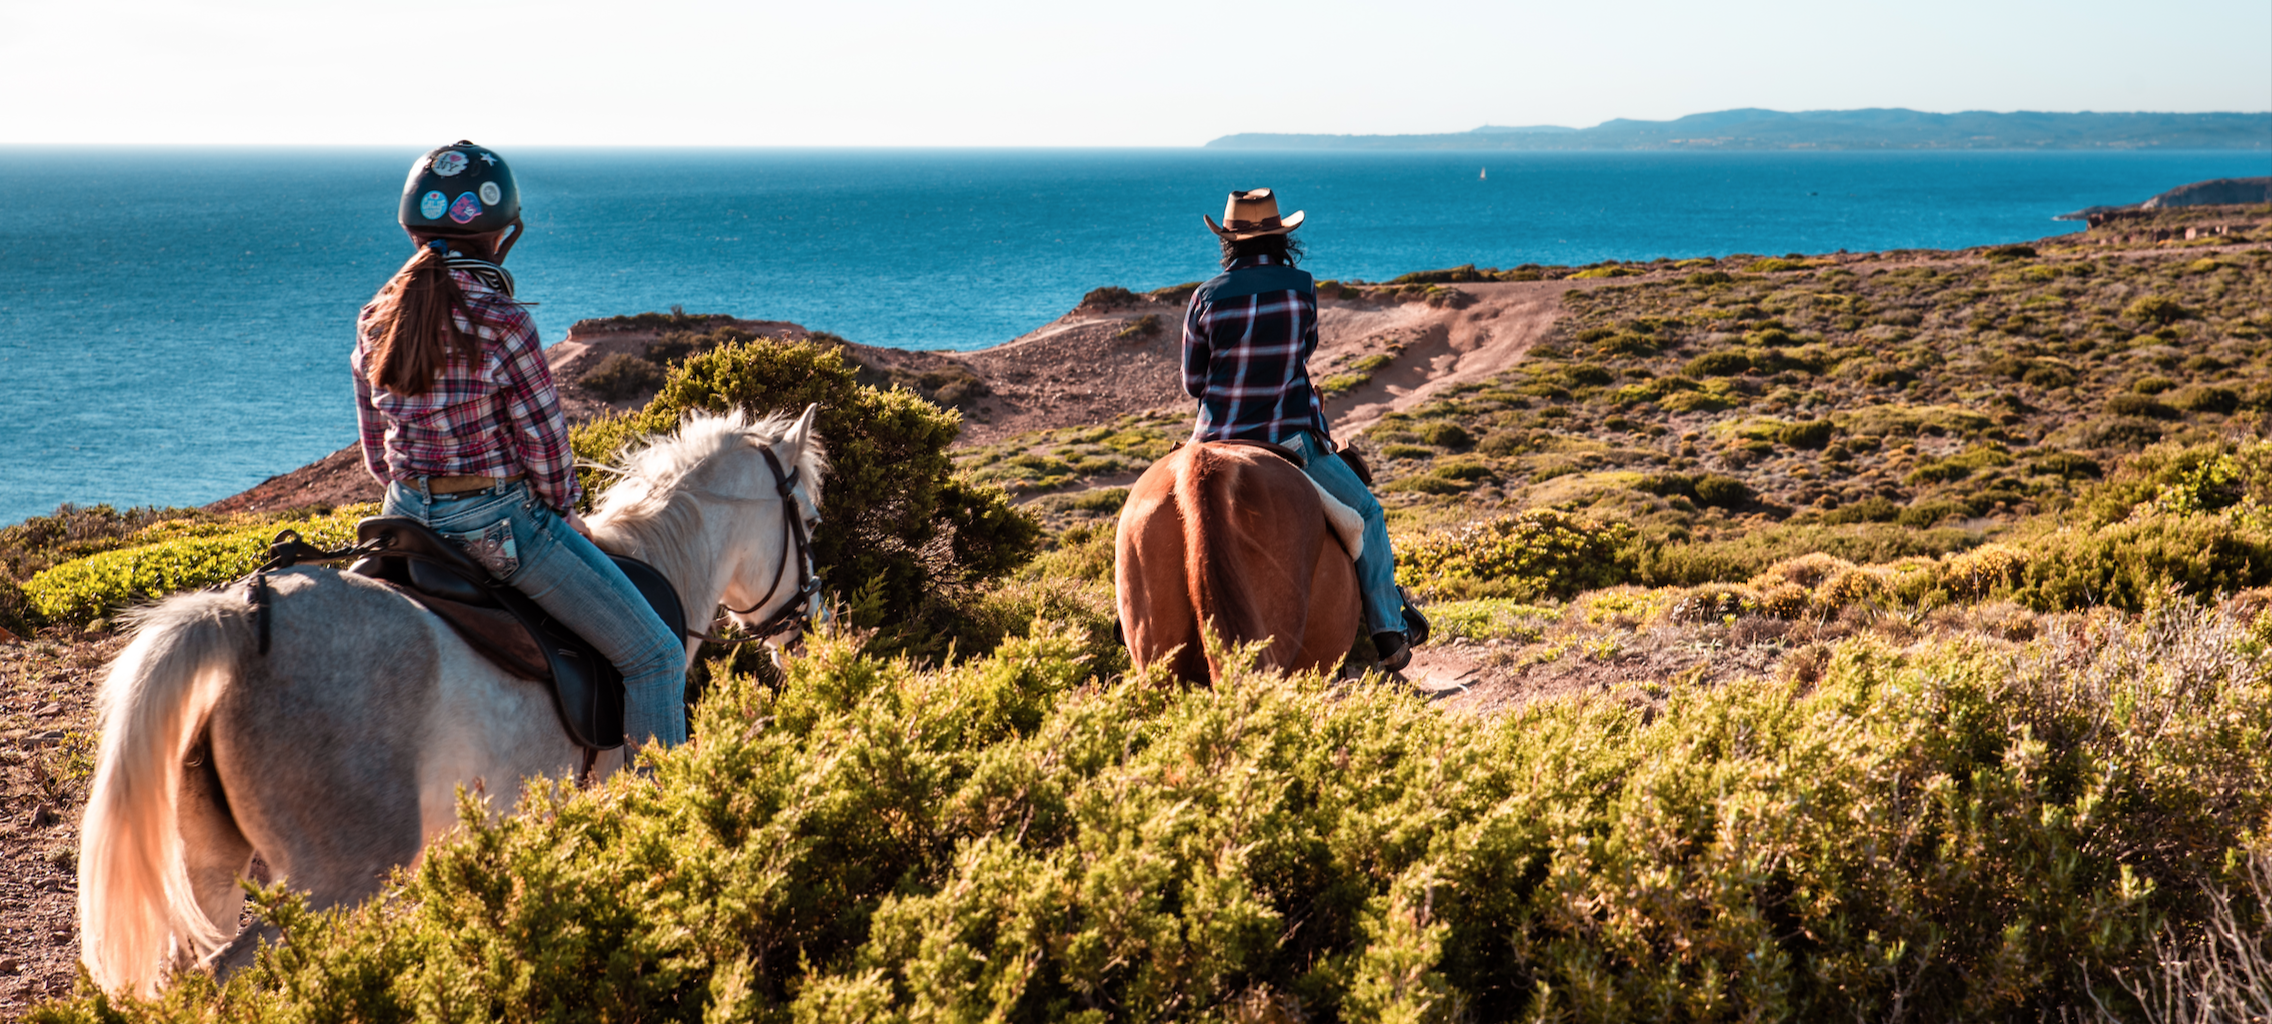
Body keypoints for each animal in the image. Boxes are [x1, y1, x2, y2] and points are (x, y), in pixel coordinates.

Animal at [76, 406, 828, 998]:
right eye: (812, 521)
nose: (809, 626)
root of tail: (243, 616)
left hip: (212, 868)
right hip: (335, 879)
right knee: (225, 971)